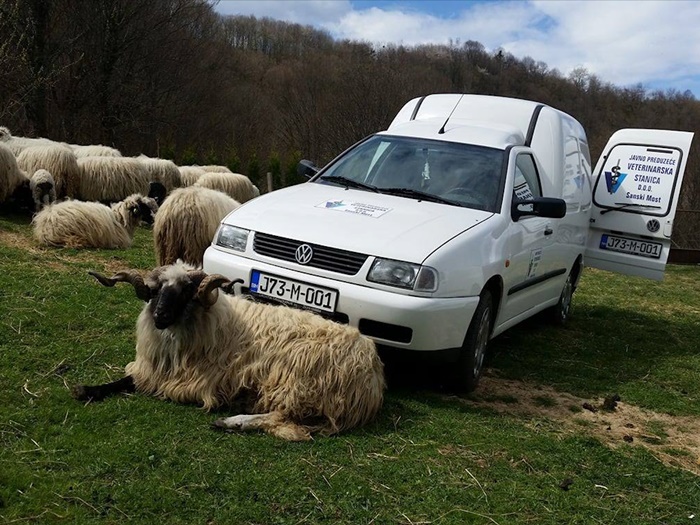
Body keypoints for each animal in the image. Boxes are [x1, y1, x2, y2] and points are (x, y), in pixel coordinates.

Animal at [75, 260, 388, 438]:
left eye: (186, 290)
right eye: (156, 290)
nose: (159, 315)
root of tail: (372, 369)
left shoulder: (196, 383)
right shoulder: (154, 371)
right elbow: (125, 380)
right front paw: (87, 389)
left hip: (300, 385)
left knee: (280, 416)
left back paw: (231, 421)